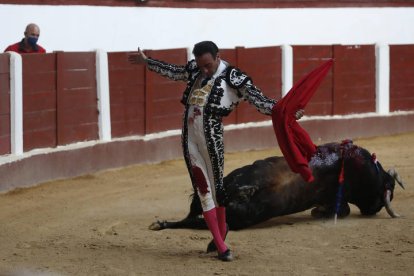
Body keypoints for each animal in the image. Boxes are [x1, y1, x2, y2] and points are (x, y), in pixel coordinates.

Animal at [150, 140, 404, 231]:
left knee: (196, 217)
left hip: (231, 206)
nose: (373, 210)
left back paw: (162, 224)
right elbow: (344, 209)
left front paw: (319, 211)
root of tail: (238, 192)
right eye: (385, 195)